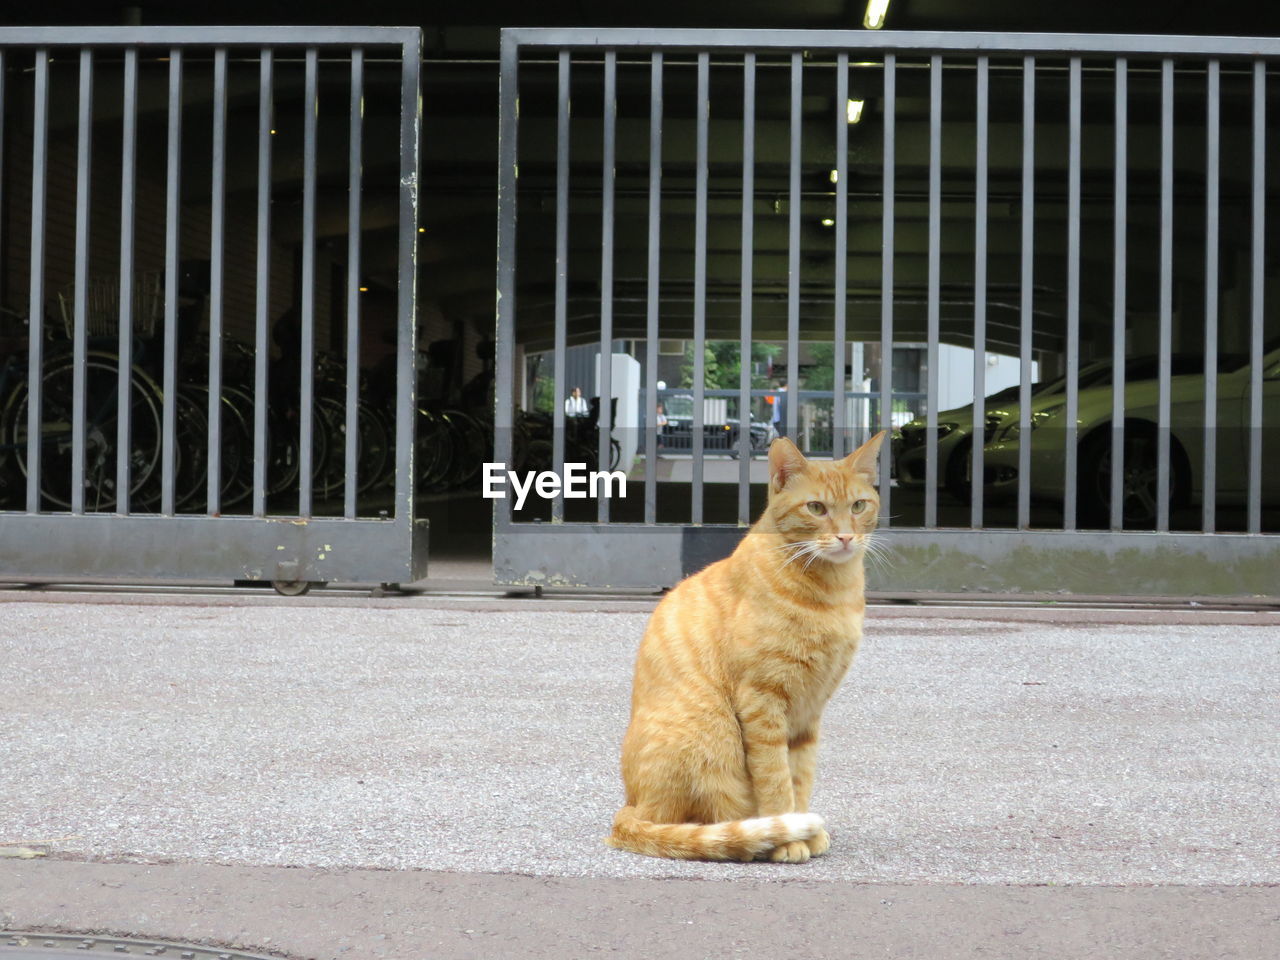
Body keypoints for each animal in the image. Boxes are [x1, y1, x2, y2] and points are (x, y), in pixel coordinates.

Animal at [604, 435, 885, 865]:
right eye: (816, 508)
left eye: (858, 506)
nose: (845, 537)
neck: (832, 593)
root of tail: (630, 807)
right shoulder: (763, 701)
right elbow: (776, 779)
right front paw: (787, 837)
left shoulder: (809, 711)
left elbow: (800, 776)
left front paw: (803, 828)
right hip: (712, 728)